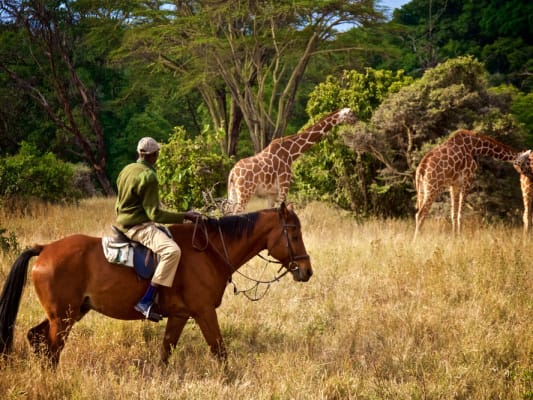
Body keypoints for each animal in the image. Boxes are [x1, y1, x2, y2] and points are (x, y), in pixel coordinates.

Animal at [0, 203, 312, 368]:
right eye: (294, 233)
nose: (307, 271)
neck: (211, 250)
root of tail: (45, 249)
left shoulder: (180, 315)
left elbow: (166, 351)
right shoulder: (204, 311)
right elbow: (219, 350)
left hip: (70, 313)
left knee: (36, 338)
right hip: (63, 318)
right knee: (52, 349)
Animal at [225, 106, 356, 212]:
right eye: (351, 114)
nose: (356, 120)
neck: (291, 153)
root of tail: (232, 173)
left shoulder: (271, 193)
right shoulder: (284, 186)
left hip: (233, 193)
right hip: (245, 192)